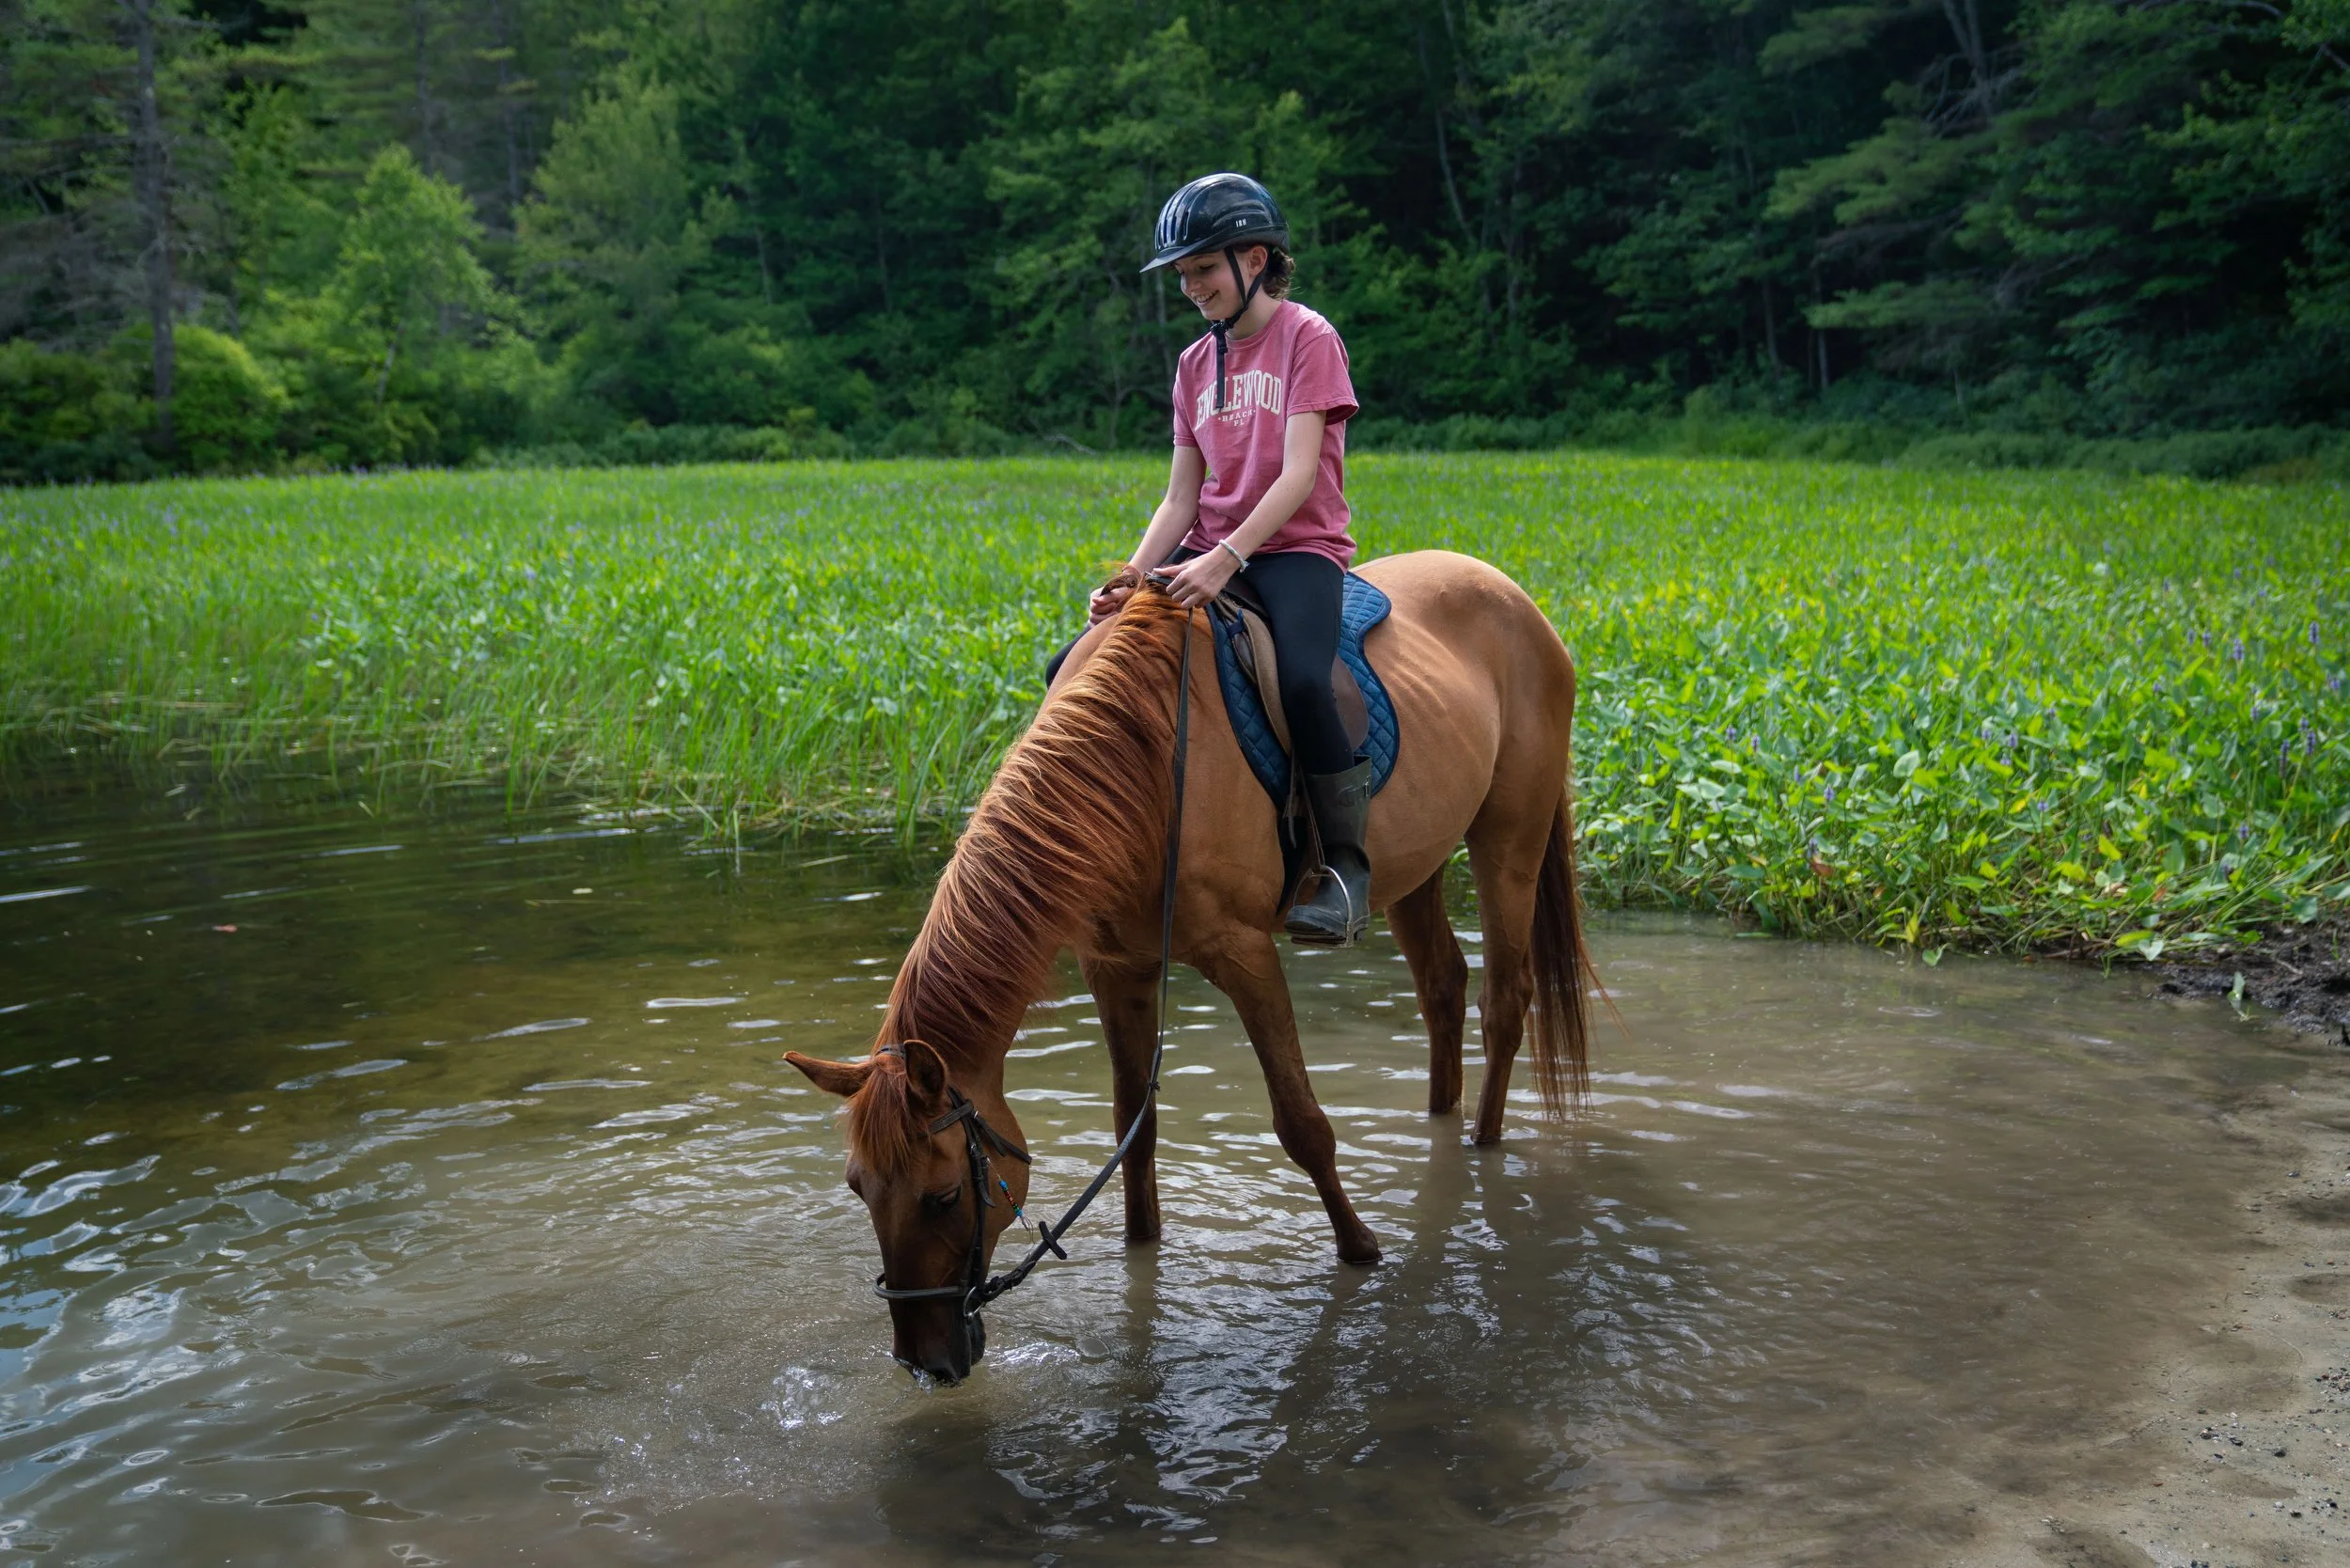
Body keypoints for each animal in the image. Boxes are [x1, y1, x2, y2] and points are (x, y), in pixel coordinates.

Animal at [785, 550, 1597, 1382]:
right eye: (857, 1189)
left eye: (945, 1196)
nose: (925, 1363)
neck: (1141, 762)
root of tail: (1508, 589)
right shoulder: (1118, 968)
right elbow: (1133, 1131)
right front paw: (1141, 1255)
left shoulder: (1244, 953)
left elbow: (1302, 1123)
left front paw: (1360, 1251)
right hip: (1415, 866)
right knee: (1442, 988)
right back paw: (1440, 1121)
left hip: (1510, 837)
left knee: (1506, 1000)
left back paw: (1482, 1146)